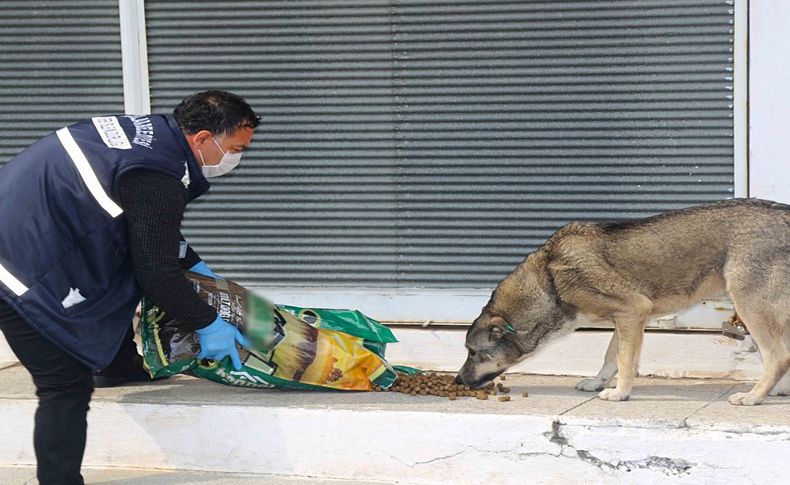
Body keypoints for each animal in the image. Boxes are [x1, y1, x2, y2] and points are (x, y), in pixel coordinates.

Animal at [454, 197, 790, 404]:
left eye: (474, 352)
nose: (457, 380)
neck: (549, 282)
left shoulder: (632, 311)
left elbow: (624, 361)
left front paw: (620, 393)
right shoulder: (627, 319)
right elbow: (610, 357)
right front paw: (598, 382)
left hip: (749, 306)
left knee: (778, 356)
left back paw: (754, 397)